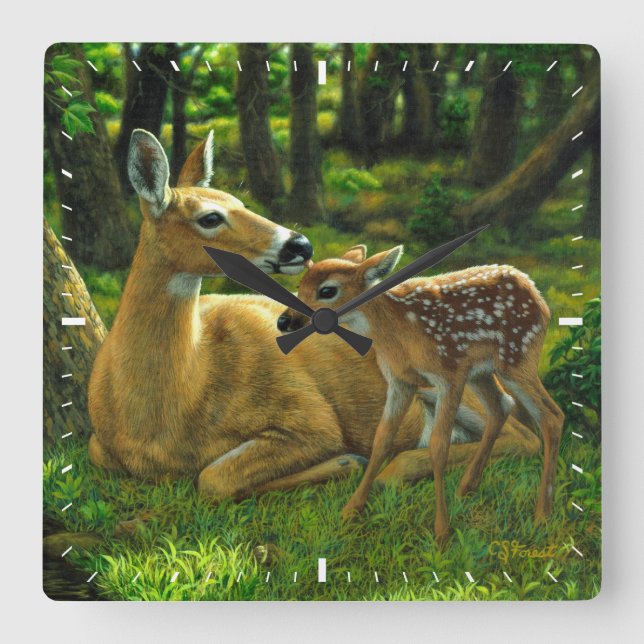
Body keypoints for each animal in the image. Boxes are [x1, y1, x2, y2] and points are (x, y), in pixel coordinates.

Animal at [88, 130, 541, 504]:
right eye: (210, 217)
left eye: (241, 202)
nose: (300, 244)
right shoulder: (99, 446)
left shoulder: (310, 417)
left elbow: (213, 478)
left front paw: (345, 462)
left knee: (521, 434)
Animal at [277, 245, 563, 543]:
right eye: (299, 285)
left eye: (327, 290)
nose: (284, 321)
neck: (397, 333)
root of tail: (535, 292)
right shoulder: (400, 380)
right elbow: (382, 438)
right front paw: (351, 510)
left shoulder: (449, 374)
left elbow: (439, 445)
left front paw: (441, 532)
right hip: (482, 371)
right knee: (502, 405)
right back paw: (466, 488)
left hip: (517, 356)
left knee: (551, 415)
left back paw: (542, 514)